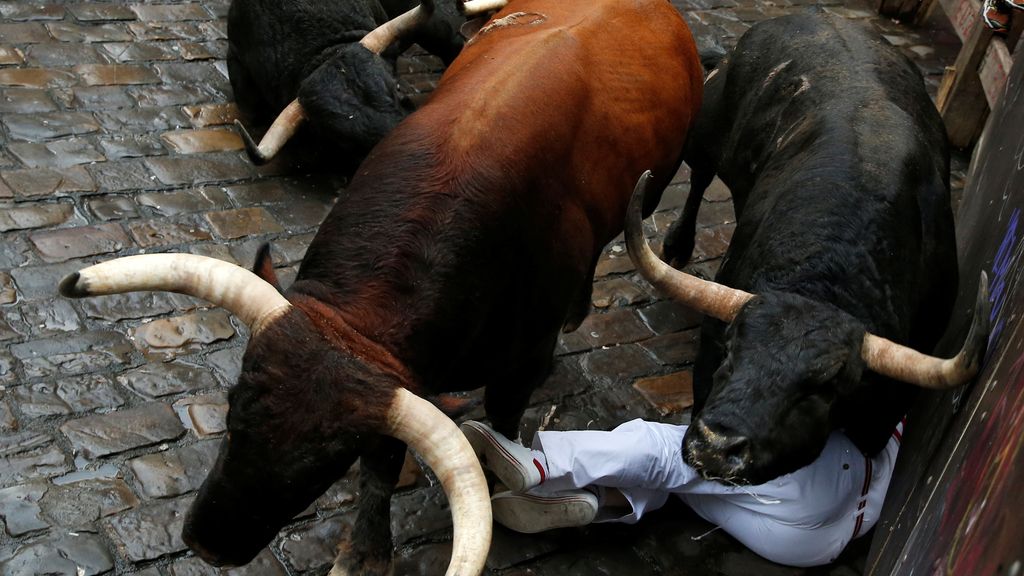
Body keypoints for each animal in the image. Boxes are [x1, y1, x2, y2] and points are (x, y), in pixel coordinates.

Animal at [58, 2, 704, 569]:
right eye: (232, 404)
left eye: (328, 459)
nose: (207, 546)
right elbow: (387, 459)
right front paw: (365, 550)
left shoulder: (522, 364)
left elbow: (500, 418)